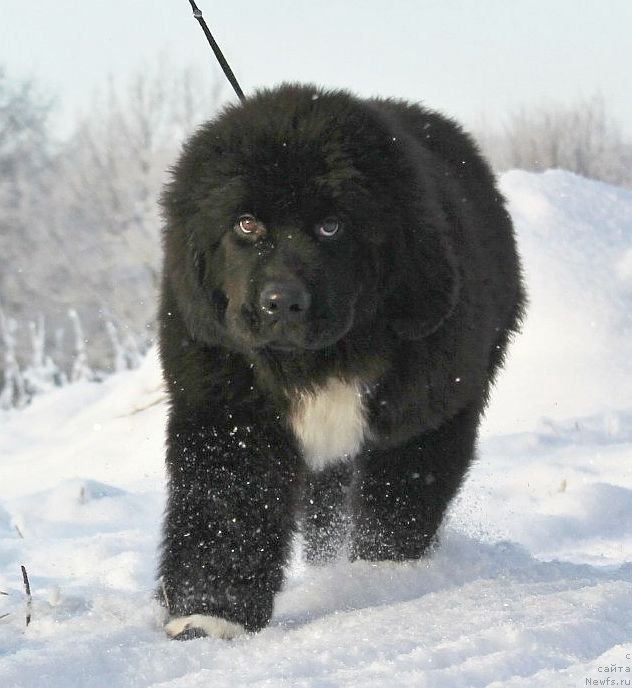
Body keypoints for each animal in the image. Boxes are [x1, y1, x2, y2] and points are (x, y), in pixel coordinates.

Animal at [157, 84, 524, 640]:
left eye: (331, 227)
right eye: (247, 224)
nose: (282, 302)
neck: (316, 363)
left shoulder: (426, 412)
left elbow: (399, 503)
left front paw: (383, 580)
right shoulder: (228, 414)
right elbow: (228, 508)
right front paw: (210, 616)